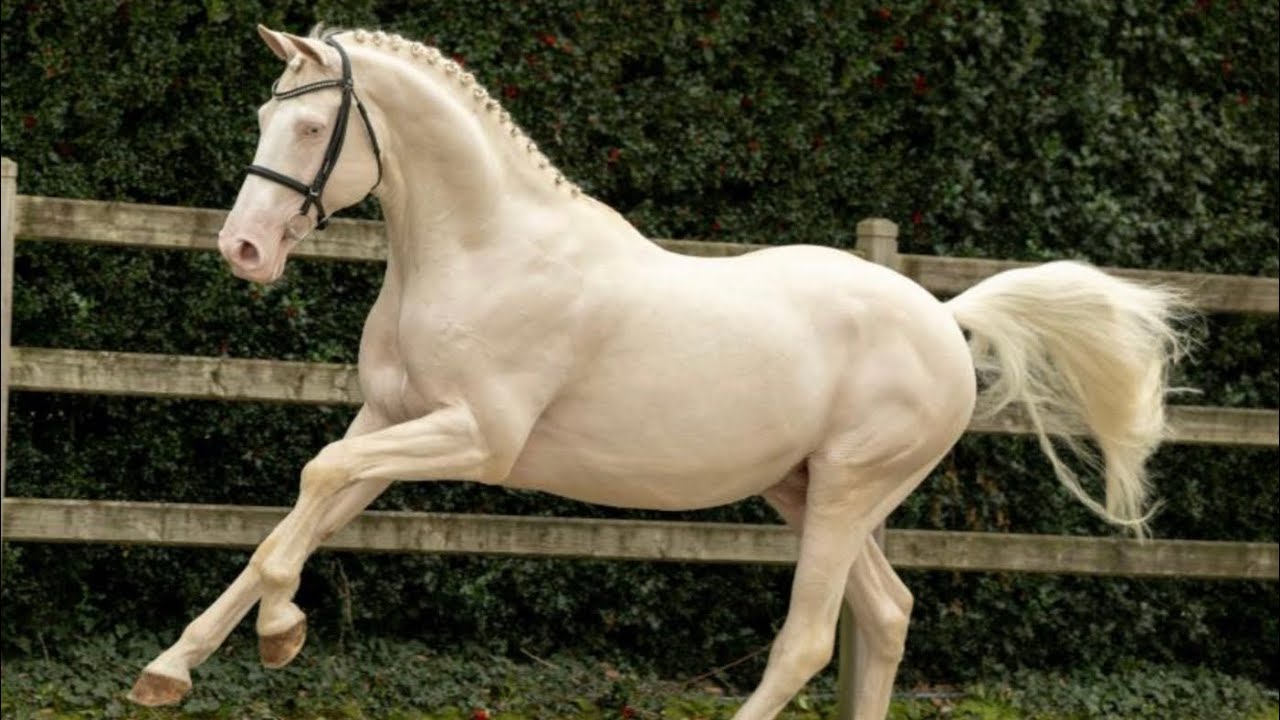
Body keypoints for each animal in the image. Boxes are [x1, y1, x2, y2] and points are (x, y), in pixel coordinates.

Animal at [127, 25, 1184, 719]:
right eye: (263, 116)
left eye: (312, 131)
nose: (243, 250)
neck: (482, 251)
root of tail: (943, 317)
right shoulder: (387, 423)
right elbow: (297, 513)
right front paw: (178, 666)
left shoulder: (475, 437)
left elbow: (309, 488)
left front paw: (279, 632)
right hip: (804, 490)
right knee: (885, 615)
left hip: (851, 487)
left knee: (810, 638)